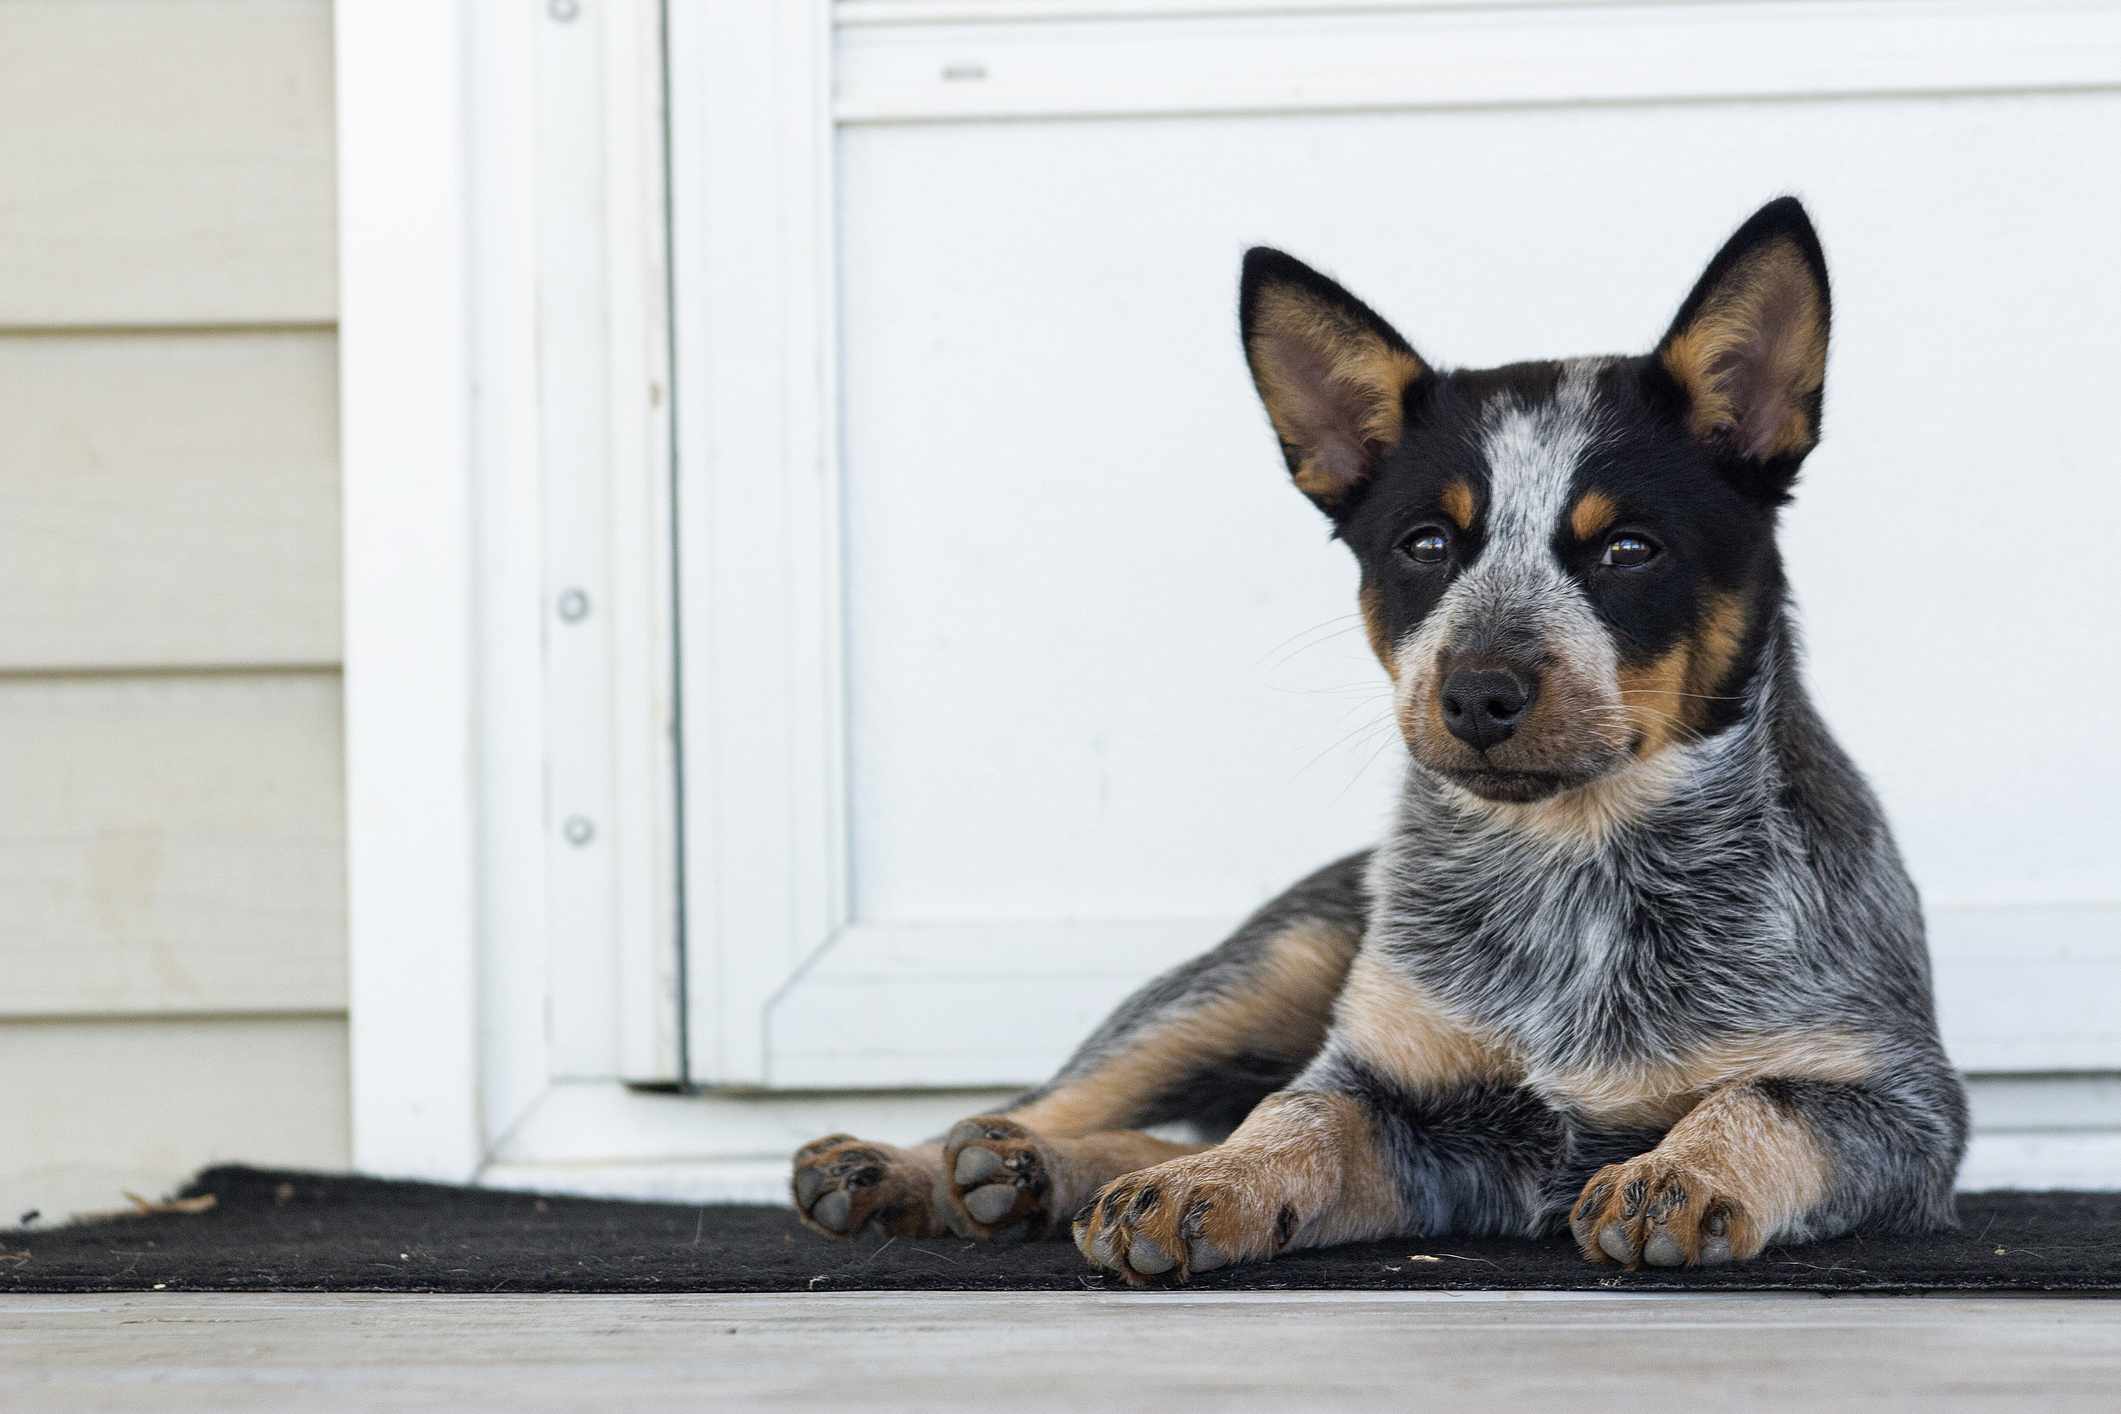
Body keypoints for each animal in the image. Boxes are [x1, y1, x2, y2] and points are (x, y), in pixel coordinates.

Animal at [797, 193, 1968, 1288]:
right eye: (1426, 544)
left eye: (1629, 548)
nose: (1479, 693)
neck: (1576, 870)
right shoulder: (1398, 1098)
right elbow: (1295, 1115)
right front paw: (1207, 1185)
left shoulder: (1903, 1108)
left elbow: (1764, 1098)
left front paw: (1679, 1172)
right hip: (1266, 965)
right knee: (1085, 1092)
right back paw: (931, 1164)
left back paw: (1025, 1175)